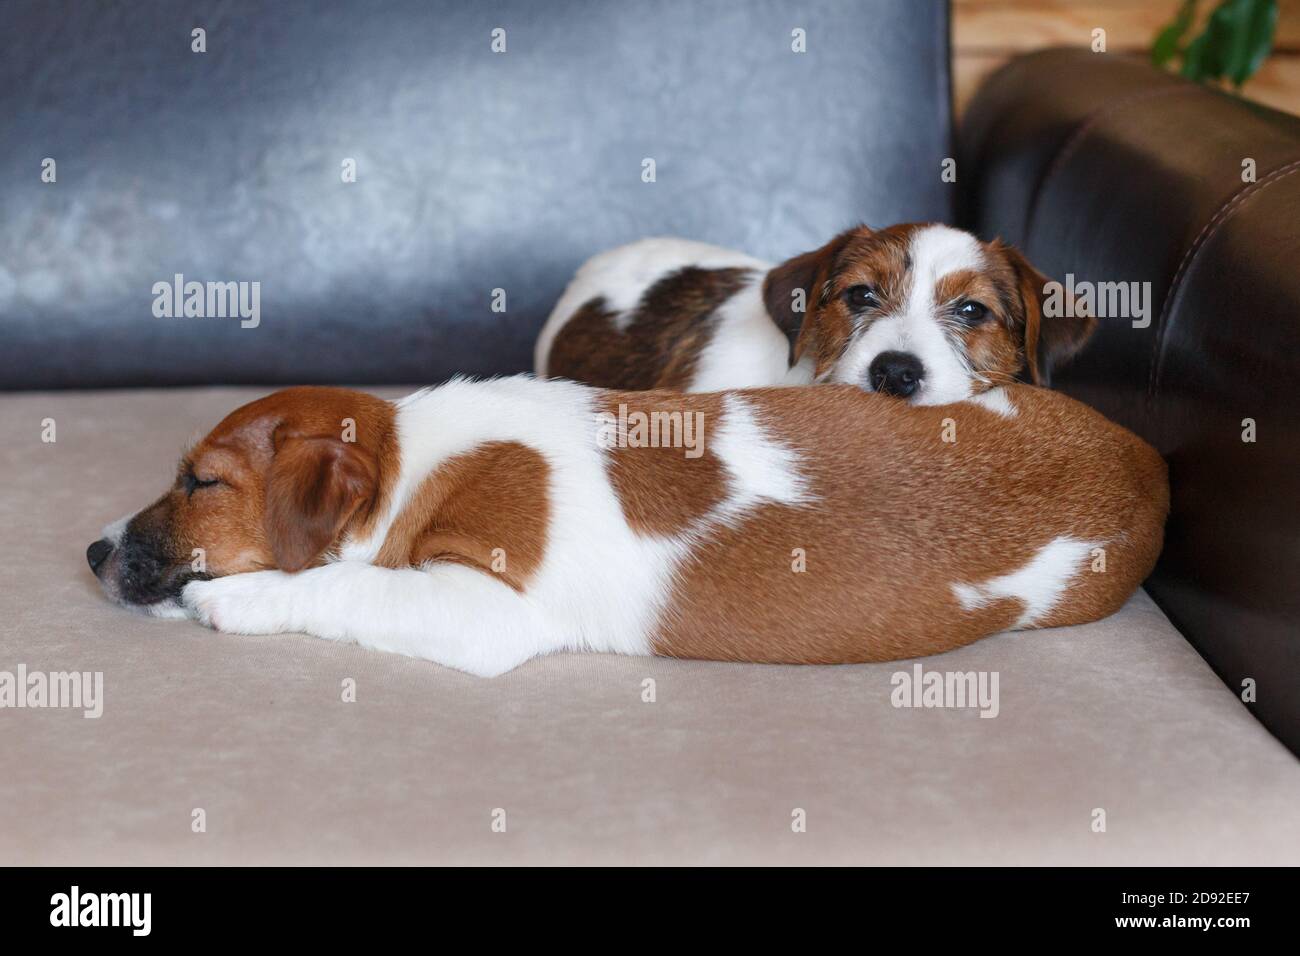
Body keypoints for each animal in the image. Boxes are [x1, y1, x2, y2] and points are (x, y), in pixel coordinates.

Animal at [89, 377, 1170, 676]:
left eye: (200, 481)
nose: (94, 550)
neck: (409, 461)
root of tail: (1148, 466)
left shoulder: (487, 609)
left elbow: (343, 584)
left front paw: (231, 598)